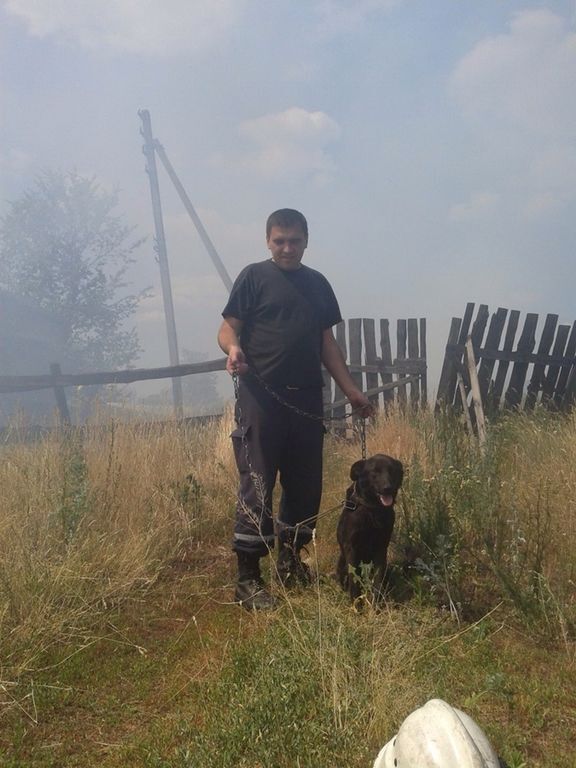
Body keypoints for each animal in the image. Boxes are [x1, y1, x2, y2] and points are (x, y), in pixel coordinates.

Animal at [336, 452, 402, 604]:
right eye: (375, 472)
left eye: (392, 470)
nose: (387, 488)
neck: (373, 510)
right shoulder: (351, 548)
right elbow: (354, 580)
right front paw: (356, 604)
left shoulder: (381, 547)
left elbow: (378, 579)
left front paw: (376, 603)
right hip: (341, 564)